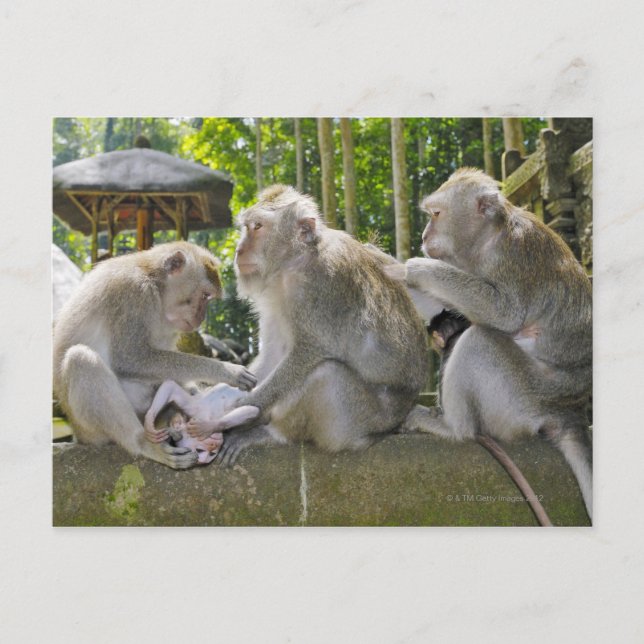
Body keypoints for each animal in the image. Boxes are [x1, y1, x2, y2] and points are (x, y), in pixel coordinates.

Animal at [53, 241, 257, 469]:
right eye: (205, 295)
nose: (202, 317)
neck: (155, 284)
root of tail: (77, 434)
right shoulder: (134, 294)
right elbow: (129, 358)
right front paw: (225, 370)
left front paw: (196, 389)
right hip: (89, 430)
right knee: (80, 359)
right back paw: (144, 442)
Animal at [211, 184, 429, 466]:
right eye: (246, 227)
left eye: (257, 227)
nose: (239, 250)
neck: (297, 259)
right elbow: (274, 354)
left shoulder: (322, 285)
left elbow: (310, 352)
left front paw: (244, 406)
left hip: (359, 421)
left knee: (326, 374)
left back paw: (270, 433)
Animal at [385, 168, 593, 518]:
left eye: (436, 214)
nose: (424, 236)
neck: (486, 240)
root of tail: (567, 411)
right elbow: (442, 304)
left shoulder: (514, 256)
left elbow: (505, 313)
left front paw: (414, 267)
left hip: (522, 401)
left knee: (480, 340)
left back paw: (453, 428)